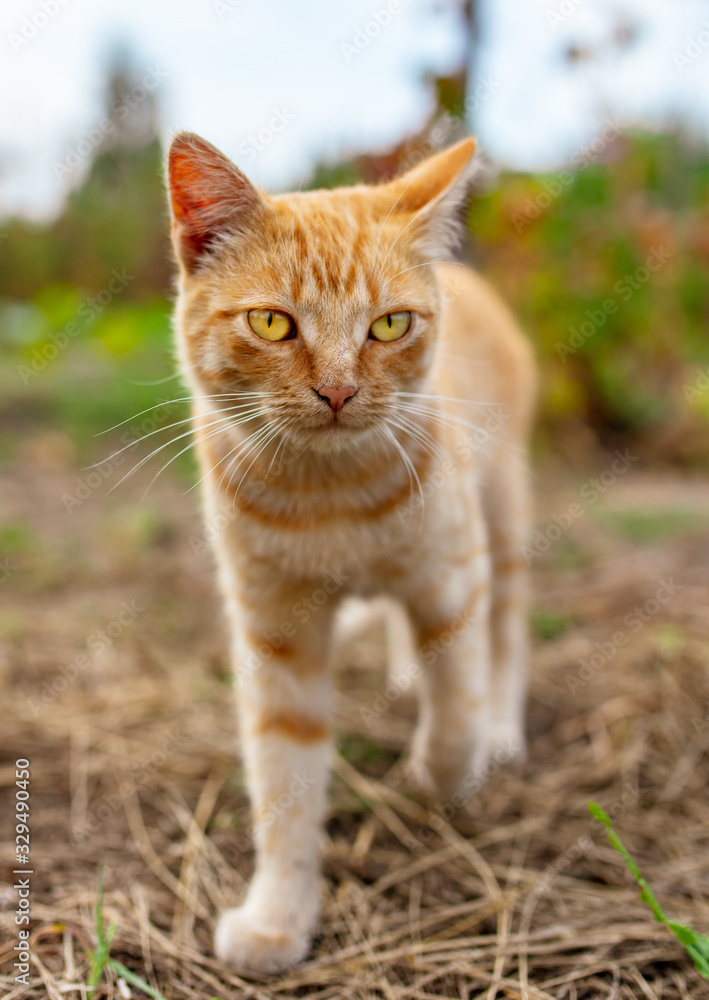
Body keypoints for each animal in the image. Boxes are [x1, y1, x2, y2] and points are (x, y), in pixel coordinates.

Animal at [165, 129, 532, 972]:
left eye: (390, 325)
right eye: (272, 325)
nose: (337, 391)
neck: (327, 498)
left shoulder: (449, 581)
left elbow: (455, 707)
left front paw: (442, 772)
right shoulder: (275, 634)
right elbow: (283, 783)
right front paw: (278, 918)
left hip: (501, 525)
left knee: (505, 636)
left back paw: (498, 732)